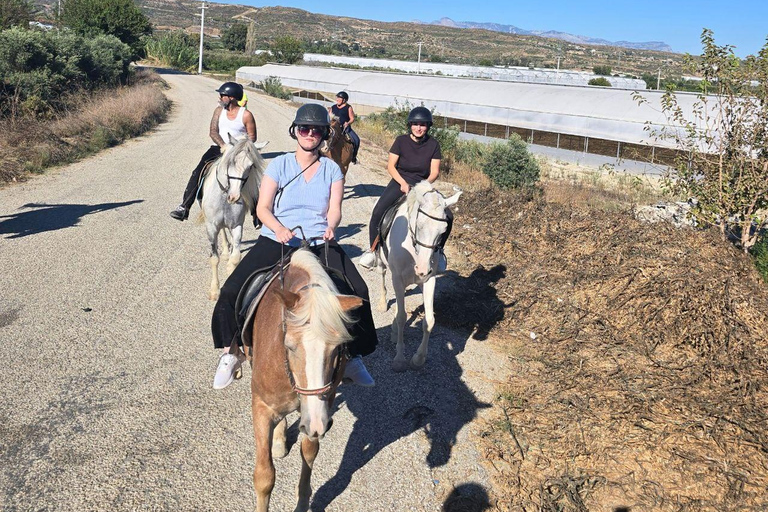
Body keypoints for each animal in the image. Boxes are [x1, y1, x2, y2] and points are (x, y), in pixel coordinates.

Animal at [199, 134, 267, 300]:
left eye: (251, 166)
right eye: (231, 162)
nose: (234, 197)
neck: (224, 197)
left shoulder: (237, 226)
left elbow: (236, 257)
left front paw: (230, 267)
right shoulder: (211, 228)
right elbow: (214, 258)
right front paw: (214, 291)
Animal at [247, 248, 363, 512]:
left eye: (337, 349)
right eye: (289, 346)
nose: (318, 425)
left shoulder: (318, 410)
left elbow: (309, 453)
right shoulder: (261, 406)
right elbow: (264, 476)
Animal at [372, 181, 461, 372]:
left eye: (443, 231)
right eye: (419, 225)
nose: (422, 269)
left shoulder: (428, 281)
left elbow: (429, 320)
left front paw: (418, 359)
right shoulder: (398, 278)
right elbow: (402, 317)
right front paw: (399, 359)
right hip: (383, 263)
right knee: (382, 275)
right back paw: (383, 304)